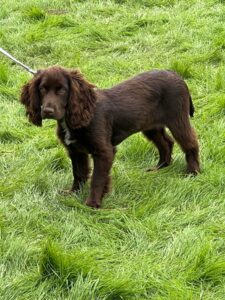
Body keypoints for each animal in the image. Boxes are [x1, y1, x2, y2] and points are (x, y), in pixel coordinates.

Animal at [20, 67, 200, 209]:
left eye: (62, 90)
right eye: (42, 89)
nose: (47, 111)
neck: (74, 118)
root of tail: (176, 75)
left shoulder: (104, 151)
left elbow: (97, 178)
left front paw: (92, 204)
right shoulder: (76, 151)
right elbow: (78, 173)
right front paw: (73, 193)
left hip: (177, 118)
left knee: (191, 143)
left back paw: (193, 173)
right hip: (150, 126)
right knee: (165, 142)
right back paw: (160, 167)